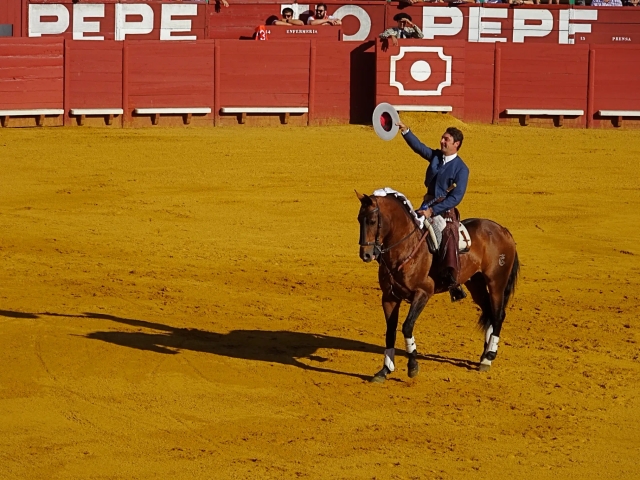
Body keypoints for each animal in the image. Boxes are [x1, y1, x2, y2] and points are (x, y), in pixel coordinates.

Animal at [356, 190, 519, 382]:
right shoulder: (389, 297)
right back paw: (484, 357)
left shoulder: (423, 293)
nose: (366, 254)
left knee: (498, 315)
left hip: (496, 282)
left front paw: (413, 366)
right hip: (476, 284)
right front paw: (385, 370)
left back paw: (489, 356)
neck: (406, 247)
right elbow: (390, 331)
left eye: (372, 221)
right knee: (489, 313)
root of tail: (503, 230)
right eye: (359, 219)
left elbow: (407, 326)